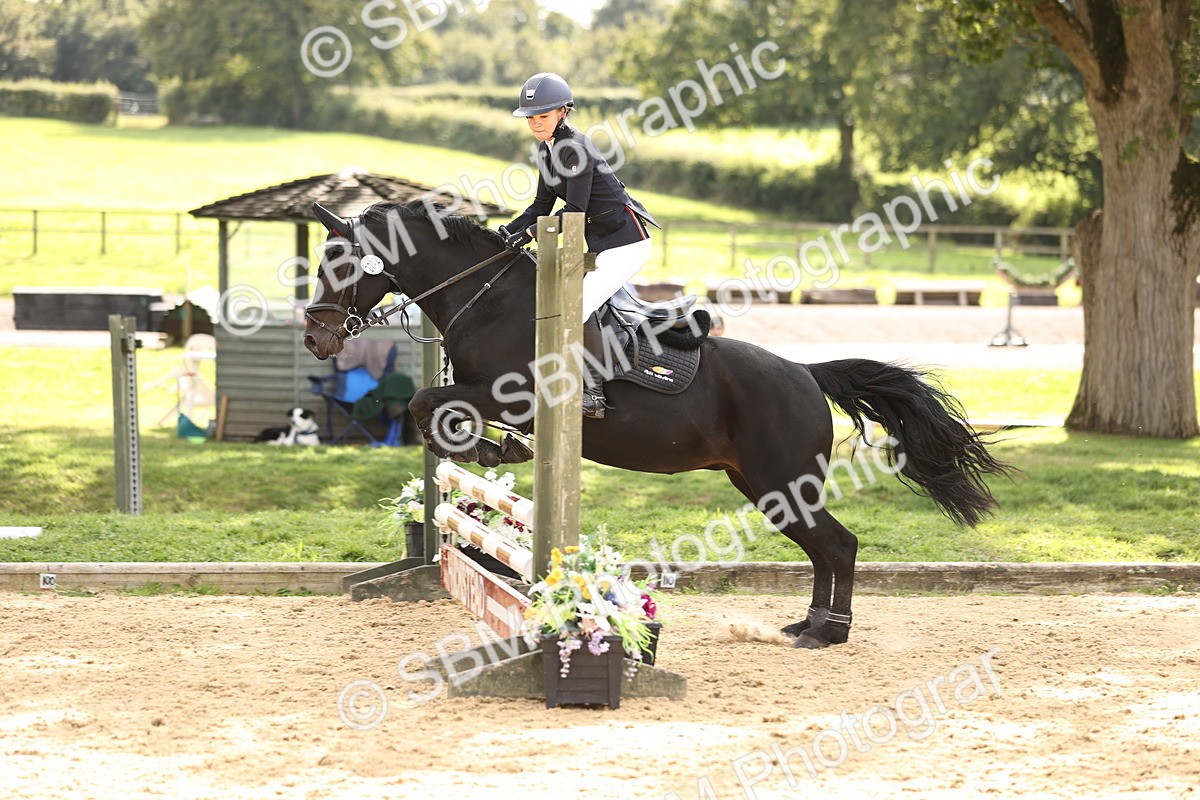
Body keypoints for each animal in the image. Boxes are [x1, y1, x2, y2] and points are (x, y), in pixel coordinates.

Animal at [303, 200, 1013, 649]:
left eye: (339, 264)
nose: (314, 338)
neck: (490, 300)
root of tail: (807, 374)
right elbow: (430, 406)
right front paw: (488, 451)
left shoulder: (518, 396)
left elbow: (428, 404)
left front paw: (484, 447)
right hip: (763, 486)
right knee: (826, 546)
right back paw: (809, 624)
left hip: (782, 480)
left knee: (838, 545)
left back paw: (828, 633)